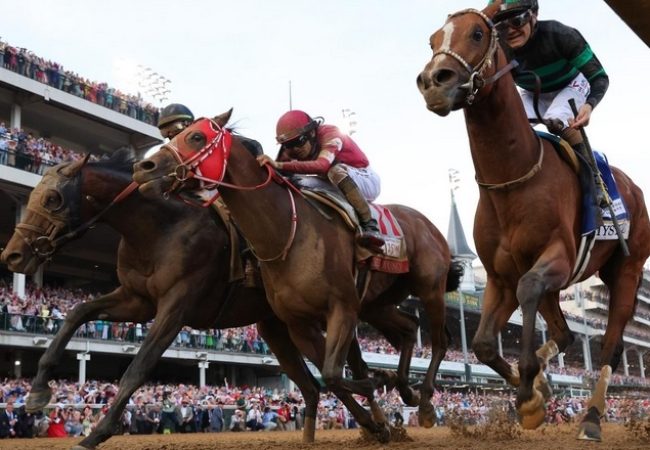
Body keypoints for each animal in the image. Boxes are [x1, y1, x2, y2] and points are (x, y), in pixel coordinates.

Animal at [0, 150, 325, 448]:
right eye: (33, 196)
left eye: (52, 198)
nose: (12, 255)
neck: (161, 229)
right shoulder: (136, 300)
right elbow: (77, 312)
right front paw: (37, 391)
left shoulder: (176, 305)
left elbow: (139, 366)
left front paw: (98, 432)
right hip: (278, 326)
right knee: (312, 382)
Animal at [132, 112, 463, 440]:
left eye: (196, 137)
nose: (143, 168)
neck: (286, 233)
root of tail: (426, 224)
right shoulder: (298, 323)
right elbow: (330, 377)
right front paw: (381, 387)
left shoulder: (342, 308)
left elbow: (333, 373)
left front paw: (379, 389)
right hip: (376, 303)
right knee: (409, 328)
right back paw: (405, 388)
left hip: (429, 287)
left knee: (440, 340)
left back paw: (424, 403)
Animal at [416, 3, 650, 441]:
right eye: (433, 40)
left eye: (477, 33)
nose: (433, 82)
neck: (513, 177)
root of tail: (633, 190)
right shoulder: (500, 275)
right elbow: (483, 344)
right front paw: (535, 390)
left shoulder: (555, 257)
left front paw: (529, 391)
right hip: (557, 285)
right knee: (565, 332)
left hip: (626, 269)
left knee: (610, 344)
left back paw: (591, 417)